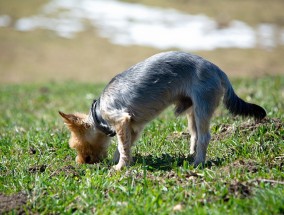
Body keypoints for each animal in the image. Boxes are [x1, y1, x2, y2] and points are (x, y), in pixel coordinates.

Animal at [59, 50, 266, 170]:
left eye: (77, 147)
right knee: (195, 134)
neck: (98, 114)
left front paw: (119, 167)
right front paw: (119, 161)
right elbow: (123, 145)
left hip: (203, 104)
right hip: (192, 110)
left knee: (205, 136)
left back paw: (198, 163)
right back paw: (191, 155)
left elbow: (122, 146)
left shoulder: (120, 120)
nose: (81, 163)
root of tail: (219, 71)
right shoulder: (132, 127)